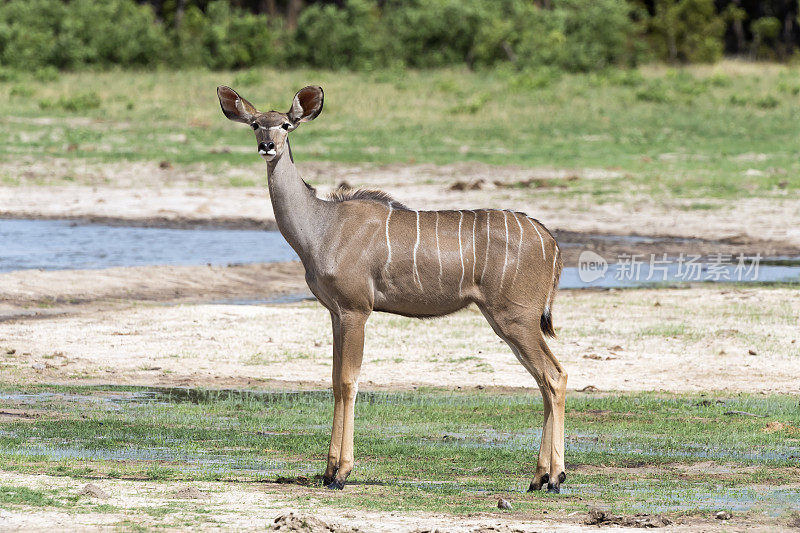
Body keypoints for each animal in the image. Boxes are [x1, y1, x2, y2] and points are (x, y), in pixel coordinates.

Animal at [217, 86, 568, 490]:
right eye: (256, 124)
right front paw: (327, 470)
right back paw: (542, 476)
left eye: (286, 125)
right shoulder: (337, 312)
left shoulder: (356, 310)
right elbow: (334, 380)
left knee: (554, 376)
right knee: (544, 380)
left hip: (516, 318)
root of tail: (552, 243)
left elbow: (348, 381)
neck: (321, 227)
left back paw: (553, 477)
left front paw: (341, 474)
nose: (267, 146)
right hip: (509, 321)